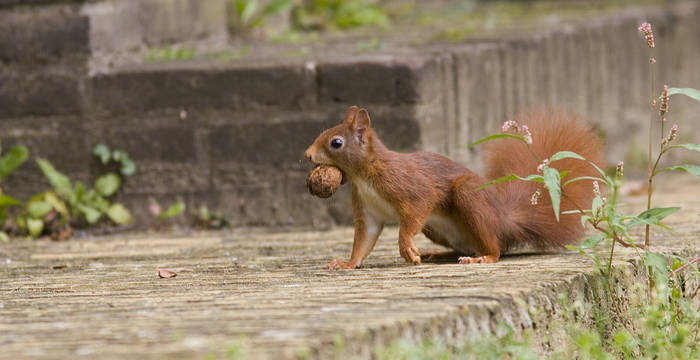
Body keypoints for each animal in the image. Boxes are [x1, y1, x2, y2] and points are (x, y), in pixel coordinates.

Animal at [304, 105, 604, 268]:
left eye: (336, 143)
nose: (307, 155)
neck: (363, 177)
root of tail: (505, 221)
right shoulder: (367, 210)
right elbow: (364, 239)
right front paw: (347, 263)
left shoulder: (407, 186)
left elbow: (416, 210)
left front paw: (405, 245)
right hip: (436, 229)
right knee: (463, 247)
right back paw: (436, 254)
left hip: (468, 198)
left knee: (495, 248)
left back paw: (483, 258)